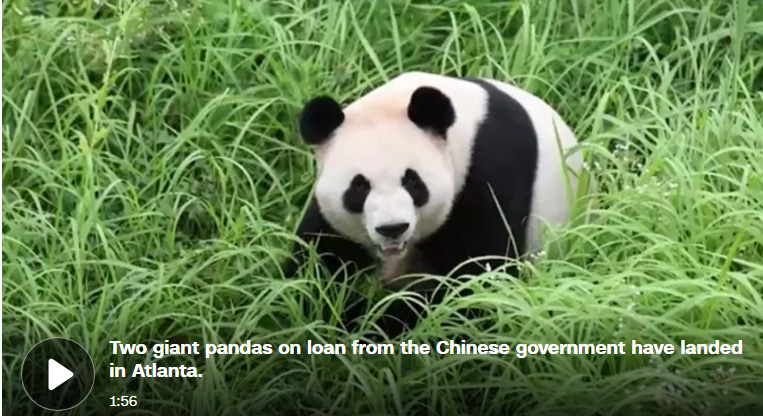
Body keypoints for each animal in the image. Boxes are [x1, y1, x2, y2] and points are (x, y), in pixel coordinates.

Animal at [282, 71, 583, 337]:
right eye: (359, 186)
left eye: (412, 181)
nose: (392, 228)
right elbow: (318, 258)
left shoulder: (493, 170)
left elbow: (476, 277)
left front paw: (378, 318)